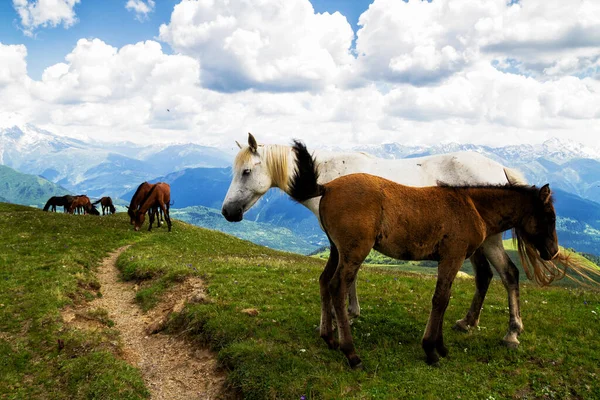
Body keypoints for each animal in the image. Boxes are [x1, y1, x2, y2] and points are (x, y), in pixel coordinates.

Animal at [223, 134, 532, 346]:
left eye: (246, 172)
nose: (227, 212)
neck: (326, 177)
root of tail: (500, 169)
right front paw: (350, 311)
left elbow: (348, 276)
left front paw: (345, 314)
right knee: (485, 276)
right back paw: (468, 322)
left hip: (489, 240)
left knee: (508, 274)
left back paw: (512, 333)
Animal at [290, 141, 592, 368]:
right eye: (550, 217)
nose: (552, 252)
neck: (471, 205)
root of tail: (327, 187)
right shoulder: (452, 257)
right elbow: (440, 299)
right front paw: (431, 350)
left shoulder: (453, 258)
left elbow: (444, 299)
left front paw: (442, 346)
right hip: (354, 253)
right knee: (337, 287)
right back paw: (351, 353)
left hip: (337, 251)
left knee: (325, 282)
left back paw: (329, 338)